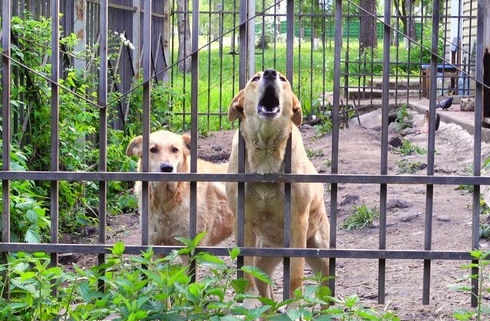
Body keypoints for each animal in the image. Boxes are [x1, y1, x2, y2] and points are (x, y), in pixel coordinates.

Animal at [226, 69, 330, 302]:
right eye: (254, 79)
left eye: (283, 79)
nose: (270, 73)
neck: (265, 150)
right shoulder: (244, 222)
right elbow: (247, 277)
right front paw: (248, 305)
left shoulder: (297, 223)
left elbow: (295, 278)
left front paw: (294, 307)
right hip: (265, 257)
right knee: (263, 286)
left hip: (322, 255)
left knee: (326, 294)